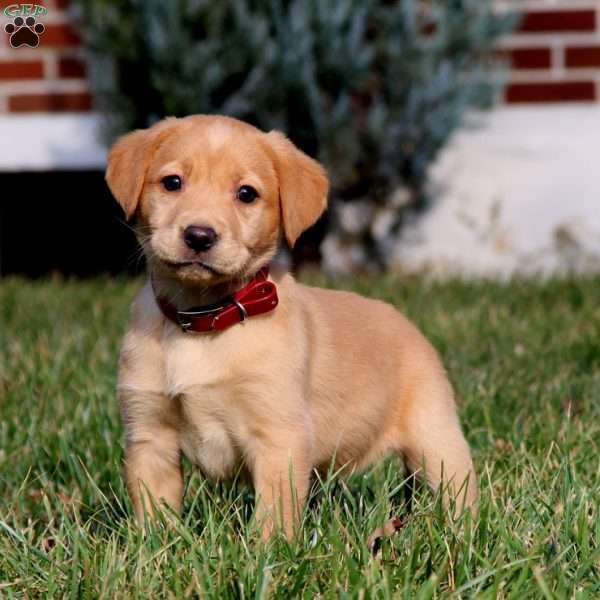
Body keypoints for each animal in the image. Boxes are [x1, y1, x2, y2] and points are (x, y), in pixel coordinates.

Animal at [105, 115, 476, 536]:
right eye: (172, 182)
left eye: (246, 194)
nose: (199, 236)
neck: (204, 319)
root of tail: (404, 319)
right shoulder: (149, 436)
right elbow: (155, 513)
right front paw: (156, 546)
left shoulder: (278, 437)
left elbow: (274, 516)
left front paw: (268, 551)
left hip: (436, 438)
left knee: (460, 488)